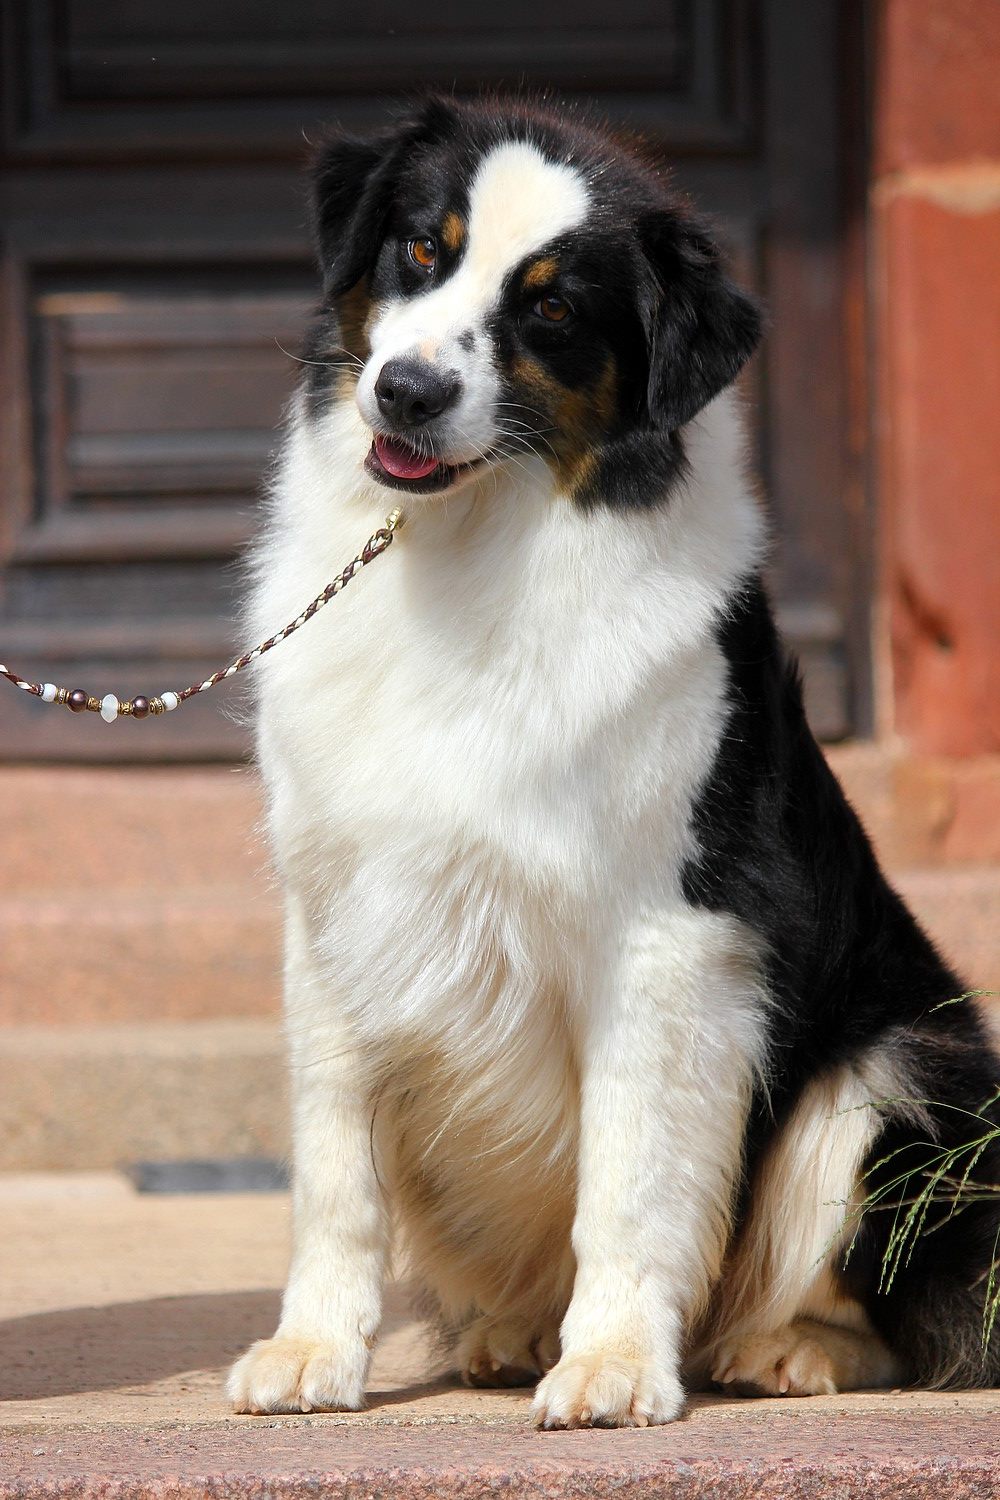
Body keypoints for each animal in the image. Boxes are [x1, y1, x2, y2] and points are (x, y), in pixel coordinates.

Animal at [229, 96, 1000, 1428]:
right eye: (421, 249)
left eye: (549, 308)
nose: (408, 390)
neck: (470, 545)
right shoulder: (332, 910)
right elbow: (334, 1171)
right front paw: (313, 1347)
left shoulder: (666, 934)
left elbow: (630, 1179)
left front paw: (612, 1365)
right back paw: (506, 1333)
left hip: (903, 1060)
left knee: (898, 1295)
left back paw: (787, 1349)